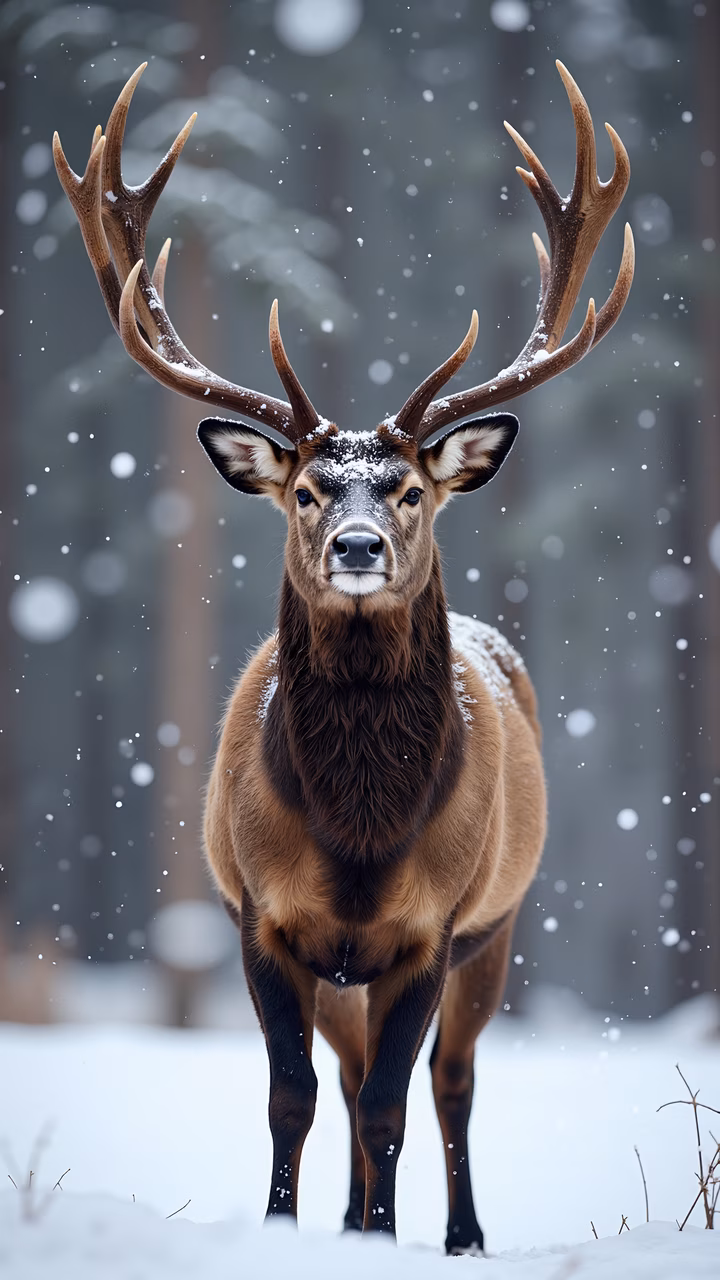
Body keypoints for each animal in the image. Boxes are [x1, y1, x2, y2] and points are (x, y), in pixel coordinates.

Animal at [54, 59, 633, 1253]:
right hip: (347, 967)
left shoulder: (433, 926)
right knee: (359, 1069)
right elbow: (297, 1094)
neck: (361, 832)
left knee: (448, 1082)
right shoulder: (263, 917)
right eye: (308, 490)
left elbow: (391, 1104)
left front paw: (386, 1236)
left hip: (498, 931)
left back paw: (458, 1232)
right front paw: (292, 1229)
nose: (357, 545)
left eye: (408, 488)